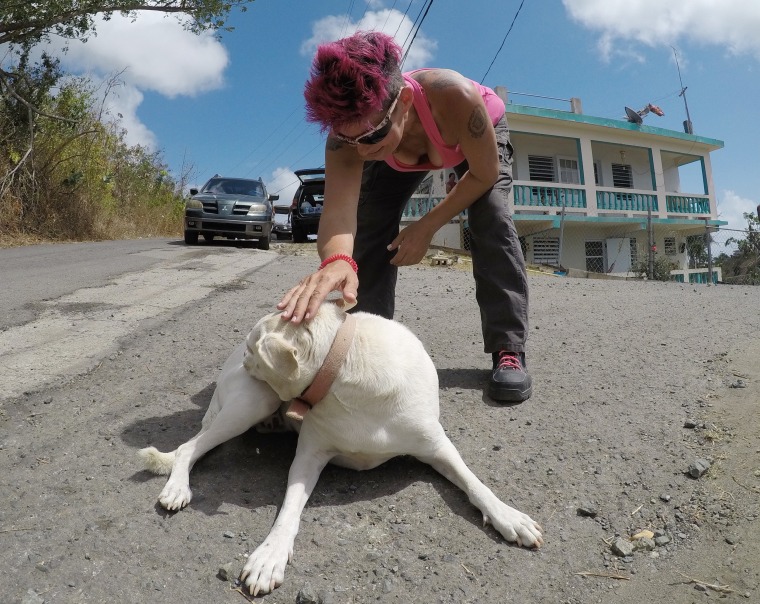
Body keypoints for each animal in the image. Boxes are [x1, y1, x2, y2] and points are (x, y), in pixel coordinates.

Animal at [137, 304, 540, 596]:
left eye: (253, 348)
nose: (243, 360)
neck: (349, 368)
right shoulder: (308, 457)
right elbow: (288, 512)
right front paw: (270, 557)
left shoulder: (437, 446)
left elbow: (475, 483)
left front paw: (508, 516)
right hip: (254, 400)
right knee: (188, 447)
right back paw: (178, 487)